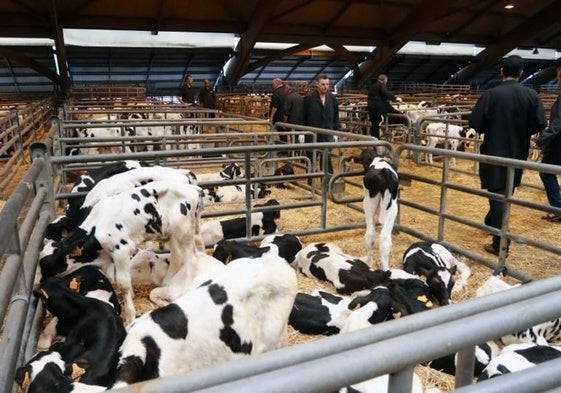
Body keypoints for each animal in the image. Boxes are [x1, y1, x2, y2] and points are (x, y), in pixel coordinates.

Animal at [40, 179, 206, 324]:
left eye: (47, 264)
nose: (41, 282)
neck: (97, 227)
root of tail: (194, 189)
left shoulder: (121, 251)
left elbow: (123, 282)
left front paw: (130, 314)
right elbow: (112, 278)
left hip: (183, 231)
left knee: (193, 260)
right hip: (177, 231)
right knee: (188, 251)